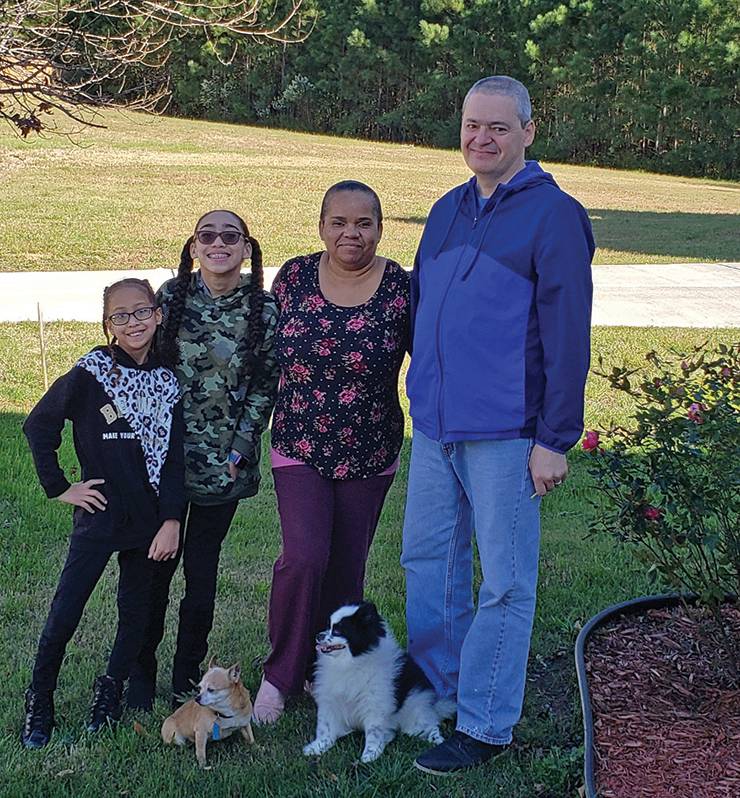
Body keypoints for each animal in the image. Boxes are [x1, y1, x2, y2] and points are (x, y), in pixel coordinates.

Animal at [302, 604, 454, 764]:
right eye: (328, 626)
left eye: (337, 630)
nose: (318, 636)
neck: (351, 662)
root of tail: (432, 706)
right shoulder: (330, 700)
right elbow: (326, 728)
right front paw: (317, 747)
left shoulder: (374, 704)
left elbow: (373, 732)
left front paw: (370, 754)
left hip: (415, 715)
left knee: (430, 725)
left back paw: (436, 740)